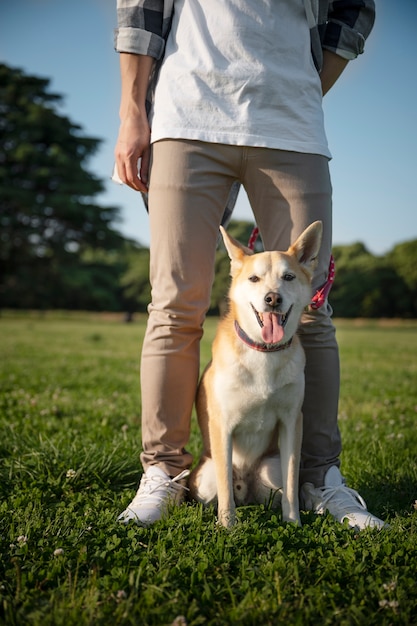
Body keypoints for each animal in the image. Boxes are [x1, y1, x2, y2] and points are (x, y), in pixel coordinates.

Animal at [188, 222, 322, 524]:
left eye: (288, 277)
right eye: (253, 279)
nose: (272, 298)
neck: (264, 352)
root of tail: (245, 487)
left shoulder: (291, 423)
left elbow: (292, 480)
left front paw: (293, 522)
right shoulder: (222, 426)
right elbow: (225, 488)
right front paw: (227, 526)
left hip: (270, 469)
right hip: (206, 477)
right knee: (223, 487)